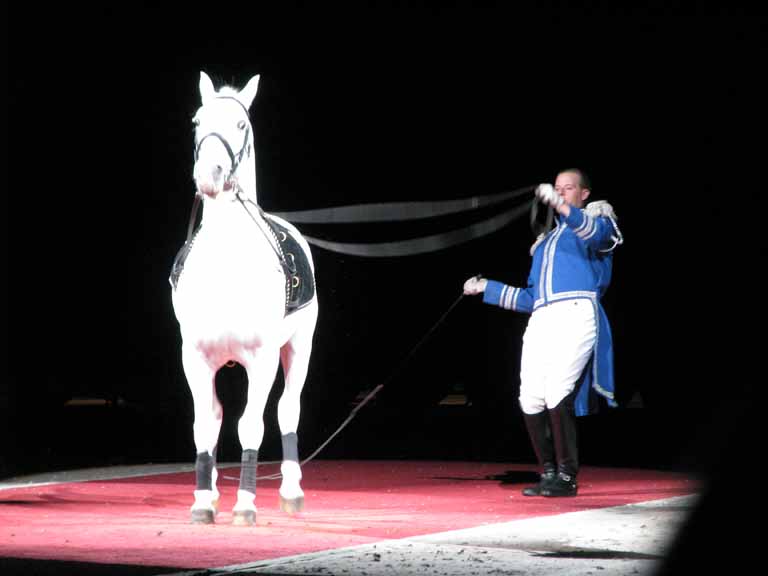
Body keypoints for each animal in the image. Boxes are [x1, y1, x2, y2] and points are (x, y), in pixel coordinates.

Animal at [170, 72, 318, 528]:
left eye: (240, 125)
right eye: (197, 121)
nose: (210, 174)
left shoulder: (263, 358)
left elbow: (251, 425)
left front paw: (247, 504)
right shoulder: (194, 357)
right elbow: (204, 426)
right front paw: (203, 501)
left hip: (299, 346)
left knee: (288, 410)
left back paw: (291, 492)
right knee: (217, 415)